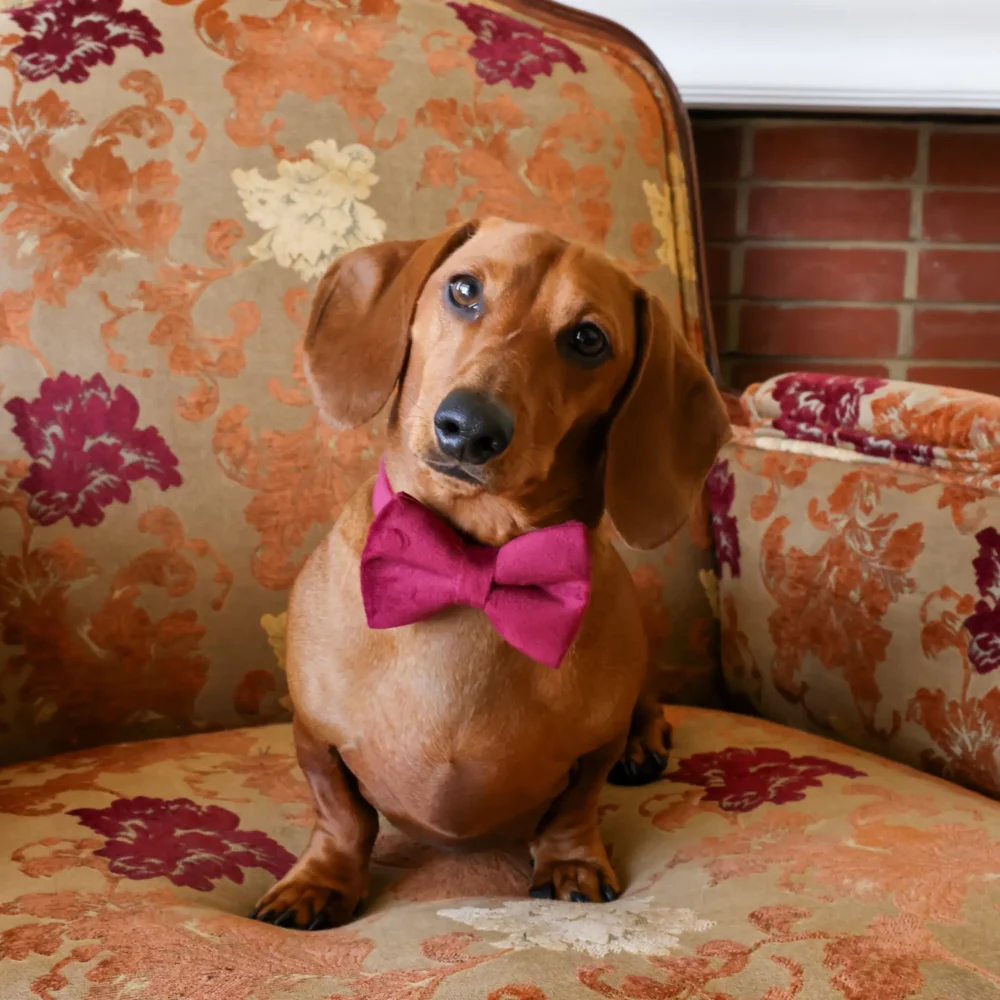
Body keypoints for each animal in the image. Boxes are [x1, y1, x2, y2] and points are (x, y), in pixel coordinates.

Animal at [248, 217, 728, 928]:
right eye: (464, 290)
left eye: (588, 339)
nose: (468, 428)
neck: (473, 563)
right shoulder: (314, 736)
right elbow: (342, 815)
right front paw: (320, 881)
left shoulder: (593, 748)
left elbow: (575, 806)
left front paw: (571, 863)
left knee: (645, 705)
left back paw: (644, 744)